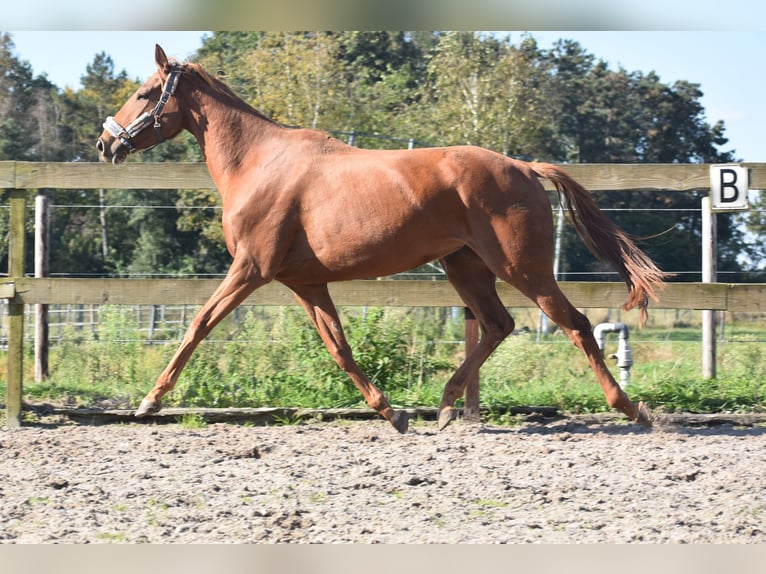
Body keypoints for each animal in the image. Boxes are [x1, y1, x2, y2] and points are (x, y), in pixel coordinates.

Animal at [99, 46, 668, 432]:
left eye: (143, 94)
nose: (106, 143)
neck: (258, 163)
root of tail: (525, 167)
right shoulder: (305, 283)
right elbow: (339, 347)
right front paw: (392, 413)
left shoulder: (251, 269)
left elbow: (198, 324)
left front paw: (150, 402)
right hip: (466, 266)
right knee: (498, 325)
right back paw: (445, 406)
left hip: (521, 268)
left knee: (575, 325)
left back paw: (631, 409)